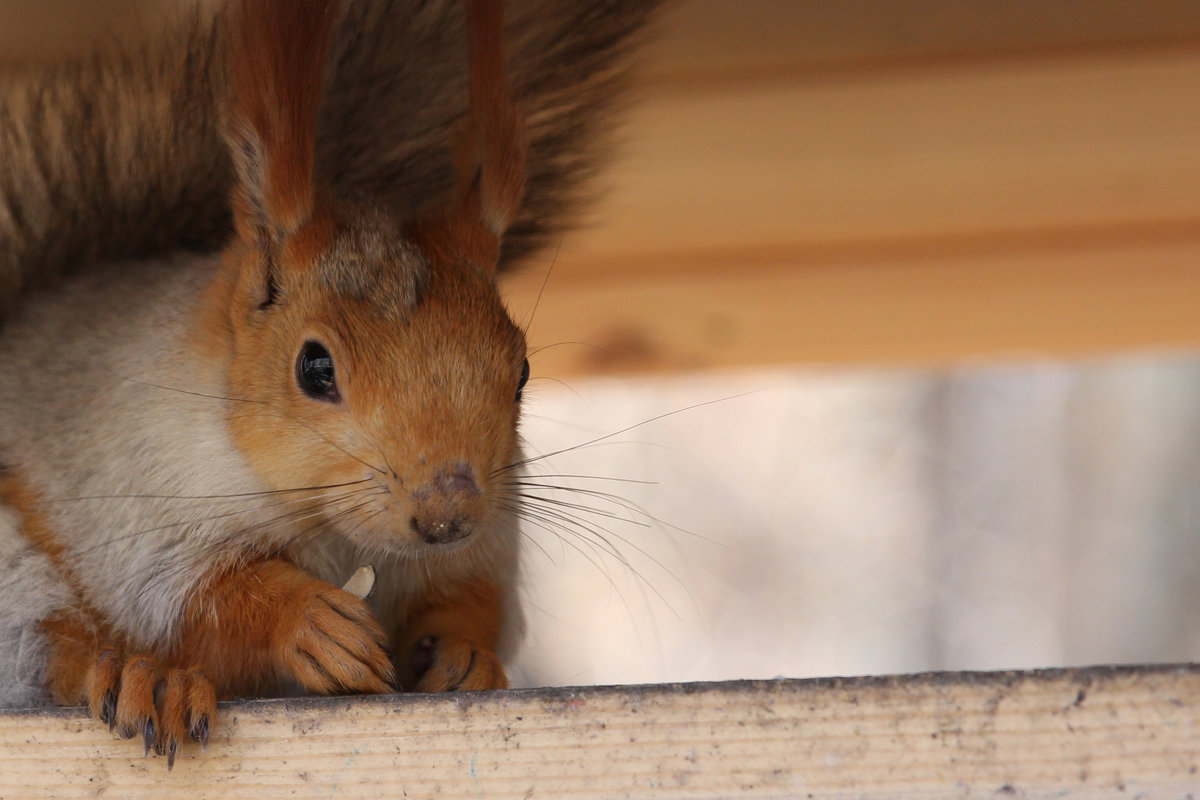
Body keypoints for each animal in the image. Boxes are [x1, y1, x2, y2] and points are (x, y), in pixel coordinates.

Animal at [0, 0, 657, 767]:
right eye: (314, 367)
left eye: (521, 370)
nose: (447, 515)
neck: (340, 531)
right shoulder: (131, 499)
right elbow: (196, 601)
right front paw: (306, 619)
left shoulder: (489, 536)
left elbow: (468, 597)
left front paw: (466, 651)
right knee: (53, 644)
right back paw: (136, 674)